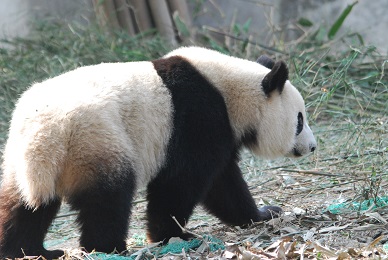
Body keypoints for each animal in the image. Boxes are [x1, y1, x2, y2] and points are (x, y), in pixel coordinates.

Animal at [0, 46, 316, 258]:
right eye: (299, 120)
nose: (312, 146)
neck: (228, 88)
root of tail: (44, 130)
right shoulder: (197, 118)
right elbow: (183, 181)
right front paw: (173, 236)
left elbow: (222, 183)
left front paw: (264, 214)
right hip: (96, 141)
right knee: (107, 199)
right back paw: (109, 248)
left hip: (23, 159)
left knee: (25, 206)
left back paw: (25, 250)